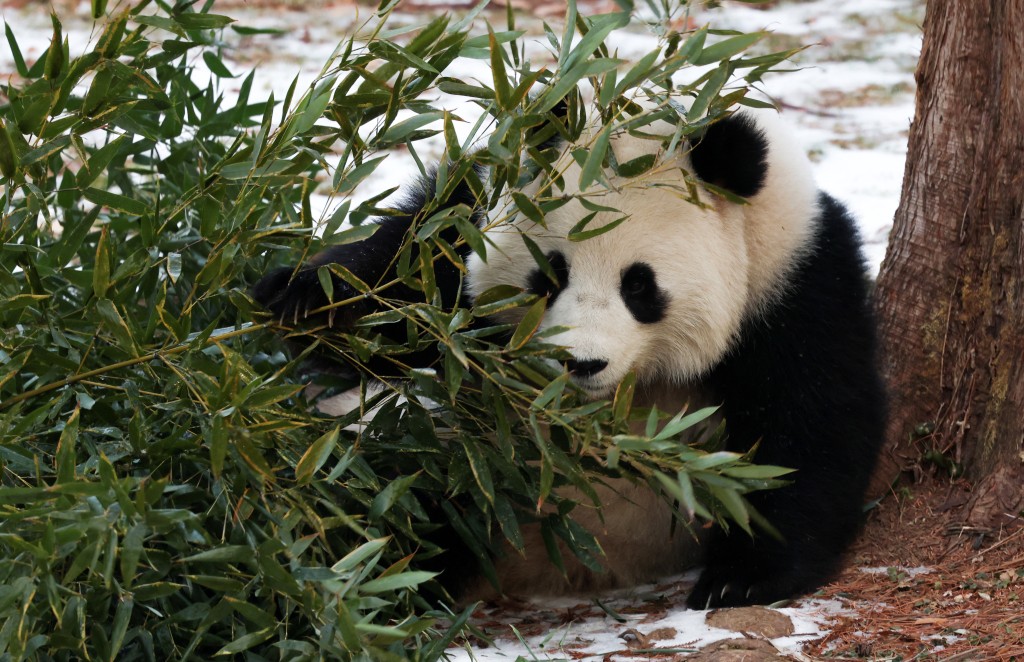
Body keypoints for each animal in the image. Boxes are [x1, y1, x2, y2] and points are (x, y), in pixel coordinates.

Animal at [251, 99, 884, 610]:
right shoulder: (468, 221)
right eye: (549, 275)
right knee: (385, 487)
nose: (581, 364)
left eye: (639, 285)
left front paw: (742, 578)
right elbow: (407, 273)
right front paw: (306, 300)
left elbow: (810, 426)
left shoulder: (794, 281)